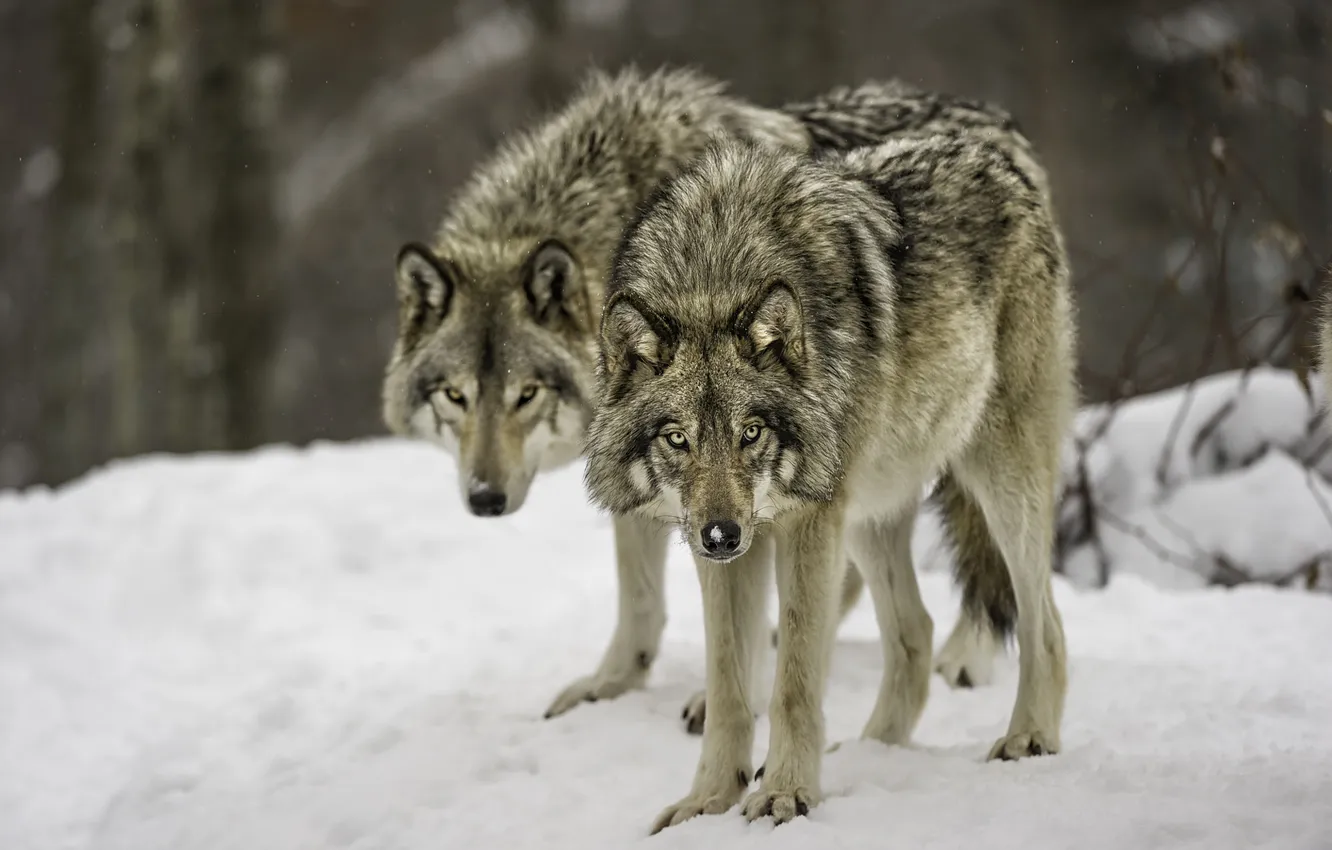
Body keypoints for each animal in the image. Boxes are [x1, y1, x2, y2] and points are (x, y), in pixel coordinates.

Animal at [380, 65, 1041, 731]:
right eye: (454, 396)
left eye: (527, 394)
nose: (484, 499)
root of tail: (999, 125)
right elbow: (641, 596)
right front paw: (610, 686)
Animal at [583, 132, 1076, 832]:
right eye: (678, 439)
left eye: (751, 432)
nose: (720, 534)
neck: (715, 277)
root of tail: (998, 151)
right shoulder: (731, 549)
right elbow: (729, 687)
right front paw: (707, 802)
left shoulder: (809, 523)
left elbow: (791, 681)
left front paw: (785, 795)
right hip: (868, 512)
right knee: (916, 632)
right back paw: (873, 753)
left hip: (998, 479)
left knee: (1046, 622)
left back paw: (1027, 737)